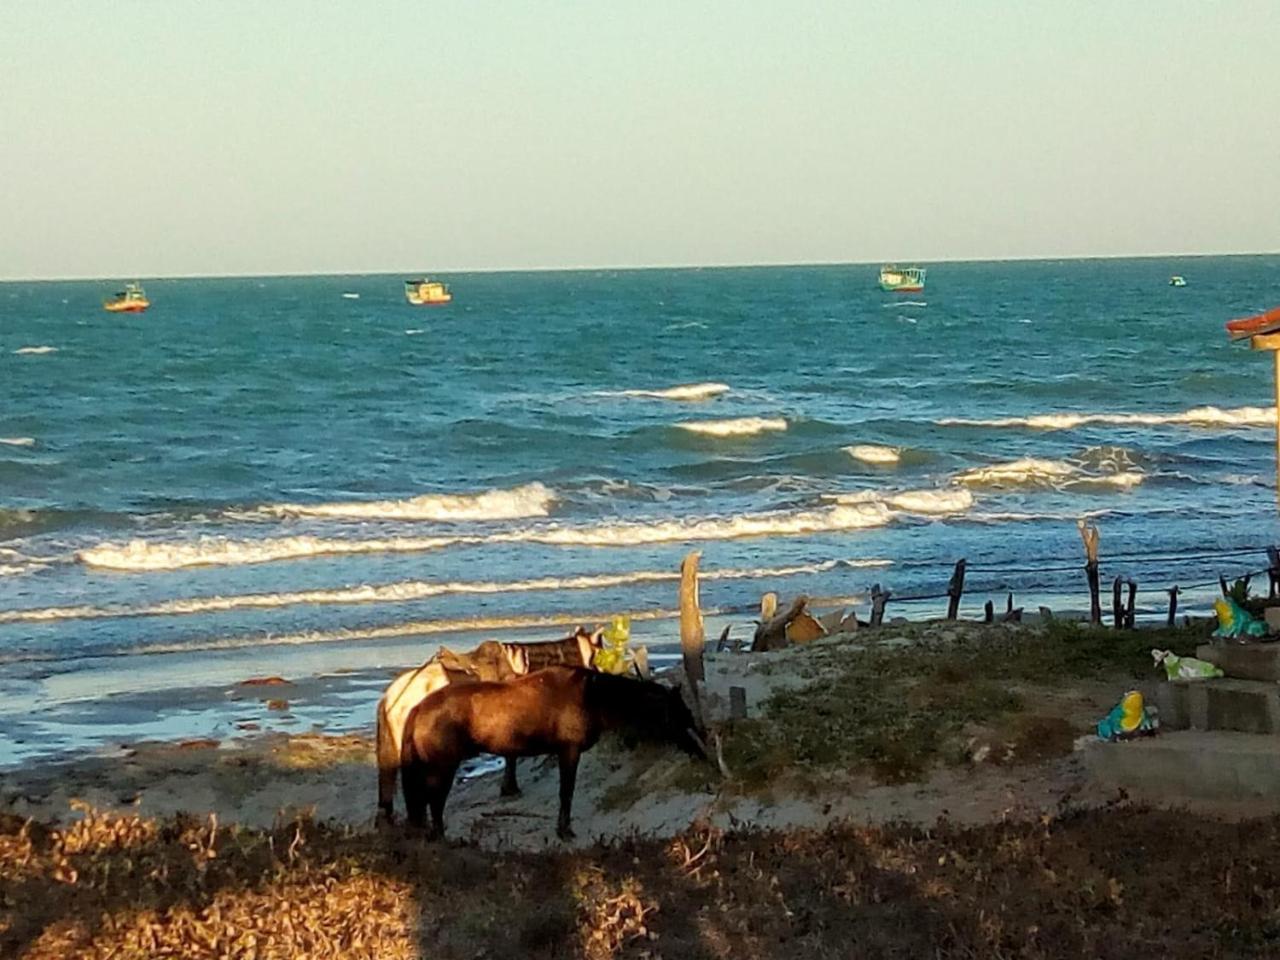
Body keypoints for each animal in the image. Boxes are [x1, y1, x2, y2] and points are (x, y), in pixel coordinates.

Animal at [401, 670, 711, 839]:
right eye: (678, 716)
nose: (701, 751)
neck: (591, 697)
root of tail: (418, 709)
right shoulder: (568, 752)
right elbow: (567, 791)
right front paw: (564, 830)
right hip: (442, 767)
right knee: (435, 801)